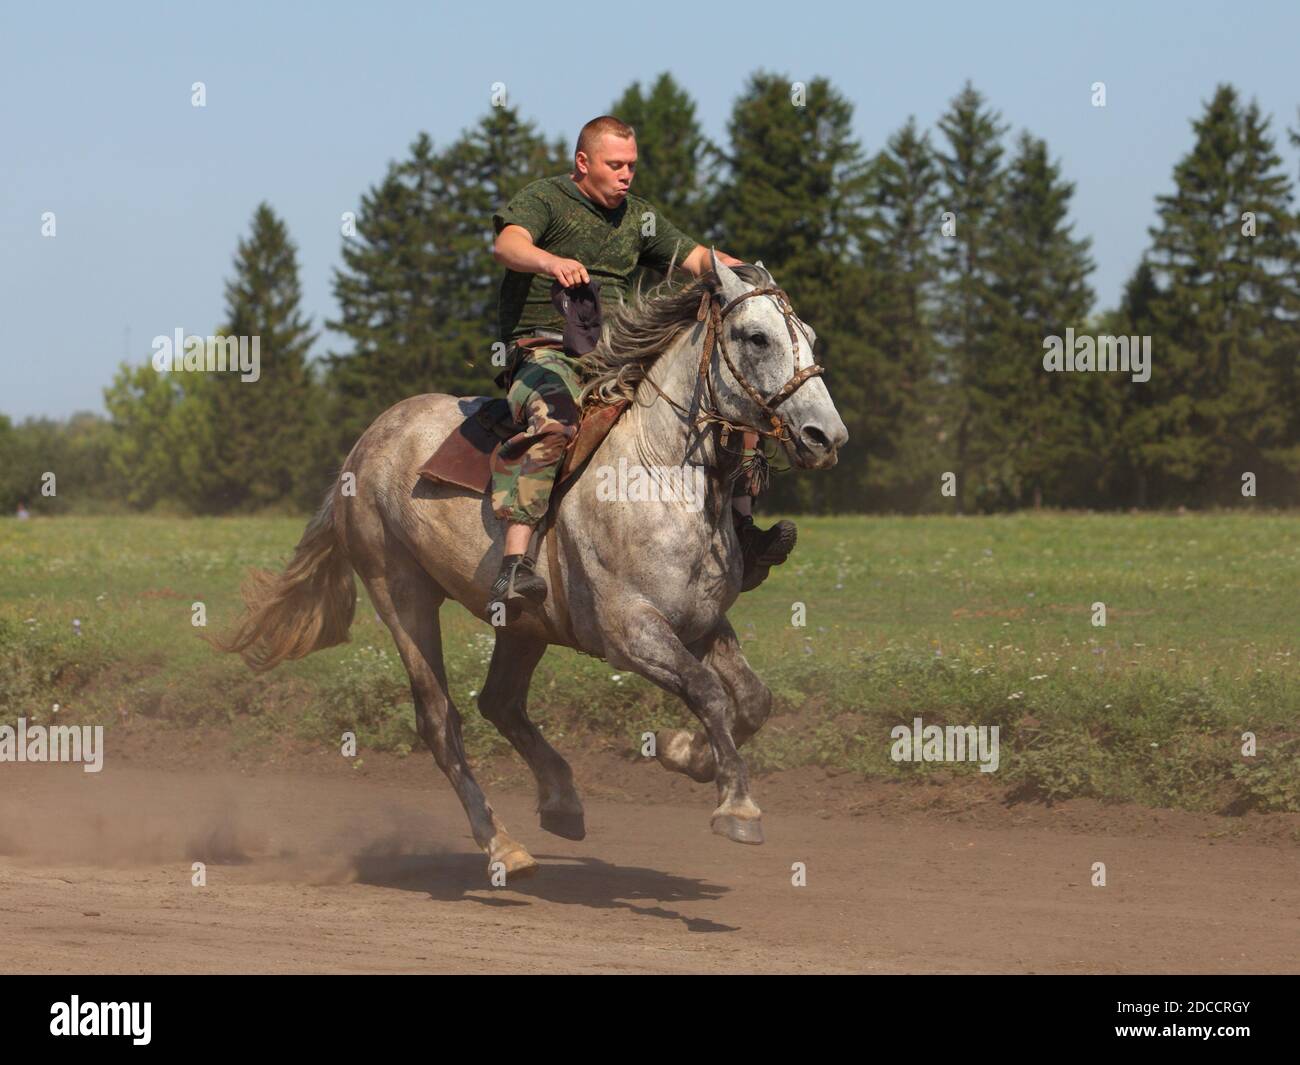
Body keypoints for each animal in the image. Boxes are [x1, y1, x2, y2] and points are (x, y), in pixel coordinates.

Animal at [218, 256, 847, 884]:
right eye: (755, 337)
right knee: (440, 721)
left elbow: (753, 699)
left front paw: (685, 755)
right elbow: (710, 692)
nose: (827, 437)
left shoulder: (703, 624)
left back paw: (561, 801)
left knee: (498, 702)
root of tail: (364, 446)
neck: (659, 474)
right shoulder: (630, 633)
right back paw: (502, 844)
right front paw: (736, 806)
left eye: (811, 336)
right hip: (400, 595)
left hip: (523, 624)